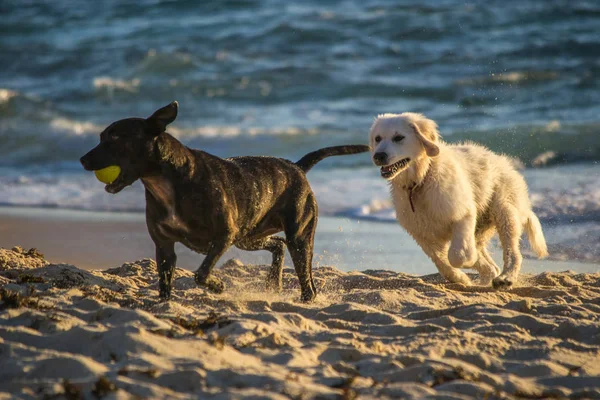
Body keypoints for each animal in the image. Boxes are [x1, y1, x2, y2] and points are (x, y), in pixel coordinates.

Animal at [81, 101, 368, 302]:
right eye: (101, 136)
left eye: (115, 138)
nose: (82, 159)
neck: (168, 181)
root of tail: (297, 167)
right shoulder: (164, 245)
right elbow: (164, 280)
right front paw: (163, 304)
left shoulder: (223, 236)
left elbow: (201, 273)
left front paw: (218, 286)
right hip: (248, 236)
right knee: (277, 245)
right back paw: (272, 283)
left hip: (298, 235)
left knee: (304, 273)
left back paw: (305, 297)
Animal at [368, 112, 548, 288]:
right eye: (377, 138)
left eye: (399, 137)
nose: (378, 156)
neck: (421, 180)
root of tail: (506, 164)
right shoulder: (422, 233)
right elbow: (441, 262)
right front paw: (461, 278)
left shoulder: (462, 213)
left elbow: (457, 256)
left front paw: (471, 264)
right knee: (488, 257)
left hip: (505, 209)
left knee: (512, 251)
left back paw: (505, 278)